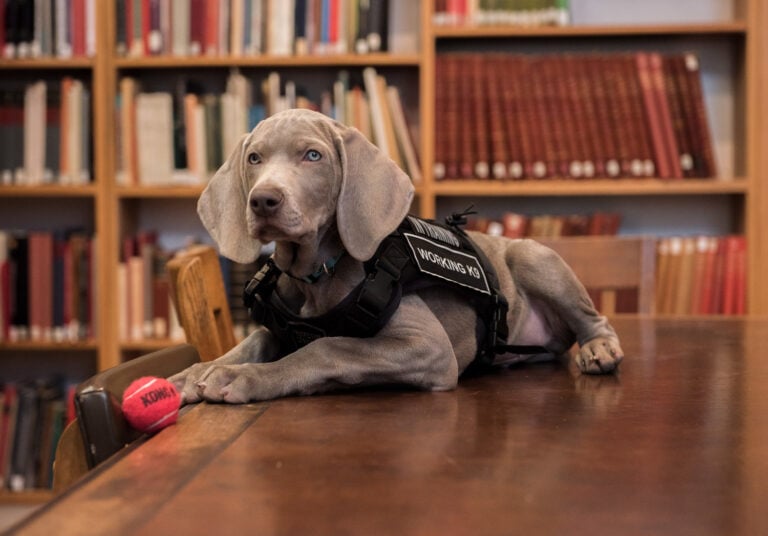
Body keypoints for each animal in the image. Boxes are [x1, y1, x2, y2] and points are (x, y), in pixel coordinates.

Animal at [170, 108, 624, 402]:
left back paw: (599, 349)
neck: (318, 274)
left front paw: (244, 378)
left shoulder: (428, 347)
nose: (263, 200)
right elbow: (252, 342)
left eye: (312, 155)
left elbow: (327, 347)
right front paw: (193, 373)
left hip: (532, 256)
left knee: (594, 320)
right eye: (254, 158)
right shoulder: (281, 327)